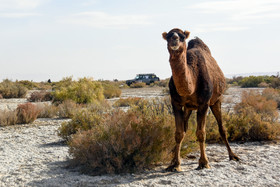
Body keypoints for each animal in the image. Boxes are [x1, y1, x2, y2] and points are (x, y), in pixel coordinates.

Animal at [162, 27, 238, 171]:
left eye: (182, 36)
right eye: (168, 36)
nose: (174, 39)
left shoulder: (204, 103)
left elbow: (201, 133)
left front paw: (204, 162)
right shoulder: (176, 103)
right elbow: (179, 133)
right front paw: (175, 164)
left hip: (216, 101)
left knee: (222, 128)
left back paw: (233, 156)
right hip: (189, 107)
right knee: (185, 128)